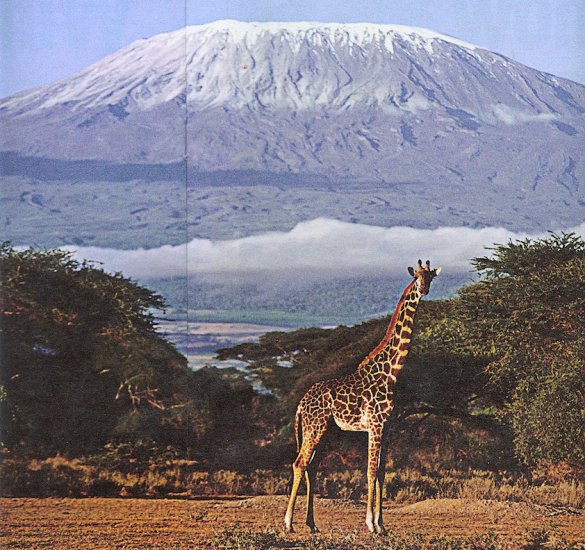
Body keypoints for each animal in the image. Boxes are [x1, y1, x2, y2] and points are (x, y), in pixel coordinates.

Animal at [282, 260, 438, 536]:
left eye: (430, 277)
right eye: (417, 276)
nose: (424, 289)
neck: (391, 373)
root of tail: (301, 403)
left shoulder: (388, 427)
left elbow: (383, 472)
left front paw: (382, 525)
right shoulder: (375, 425)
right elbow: (370, 470)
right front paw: (370, 524)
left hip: (328, 431)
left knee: (313, 465)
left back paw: (312, 524)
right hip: (315, 427)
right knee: (300, 463)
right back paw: (289, 523)